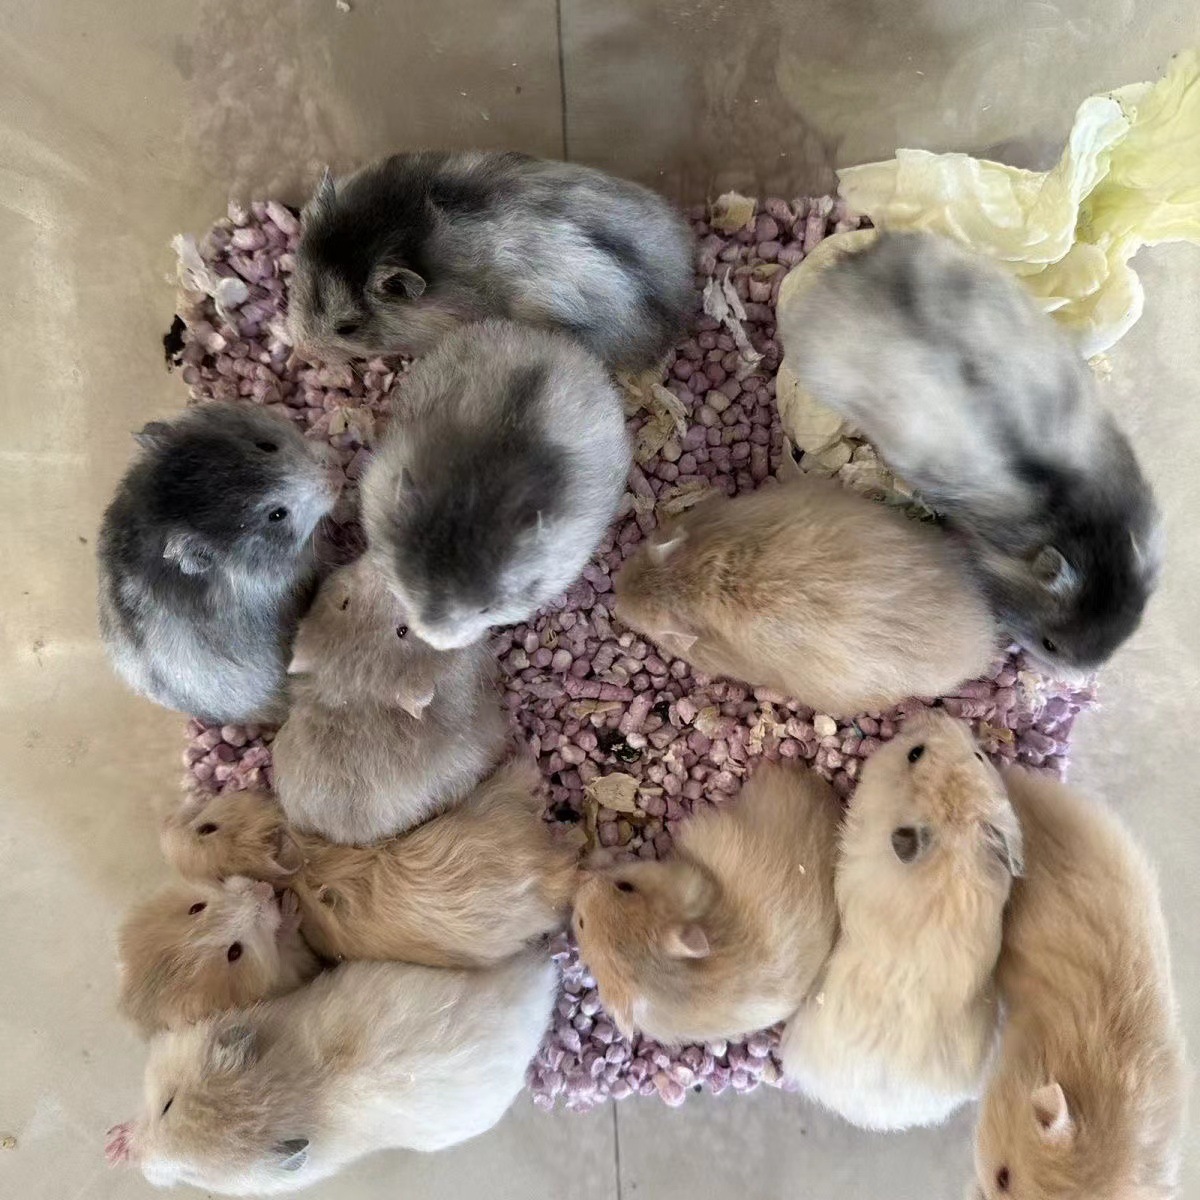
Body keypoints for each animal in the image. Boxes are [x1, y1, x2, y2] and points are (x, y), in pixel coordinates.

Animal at [106, 951, 557, 1195]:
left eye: (193, 1173)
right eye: (167, 1104)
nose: (140, 1157)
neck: (279, 1091)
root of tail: (542, 993)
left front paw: (115, 1147)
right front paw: (115, 1145)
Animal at [116, 876, 320, 1036]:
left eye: (196, 908)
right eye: (234, 952)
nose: (265, 889)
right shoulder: (290, 971)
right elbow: (289, 944)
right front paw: (291, 903)